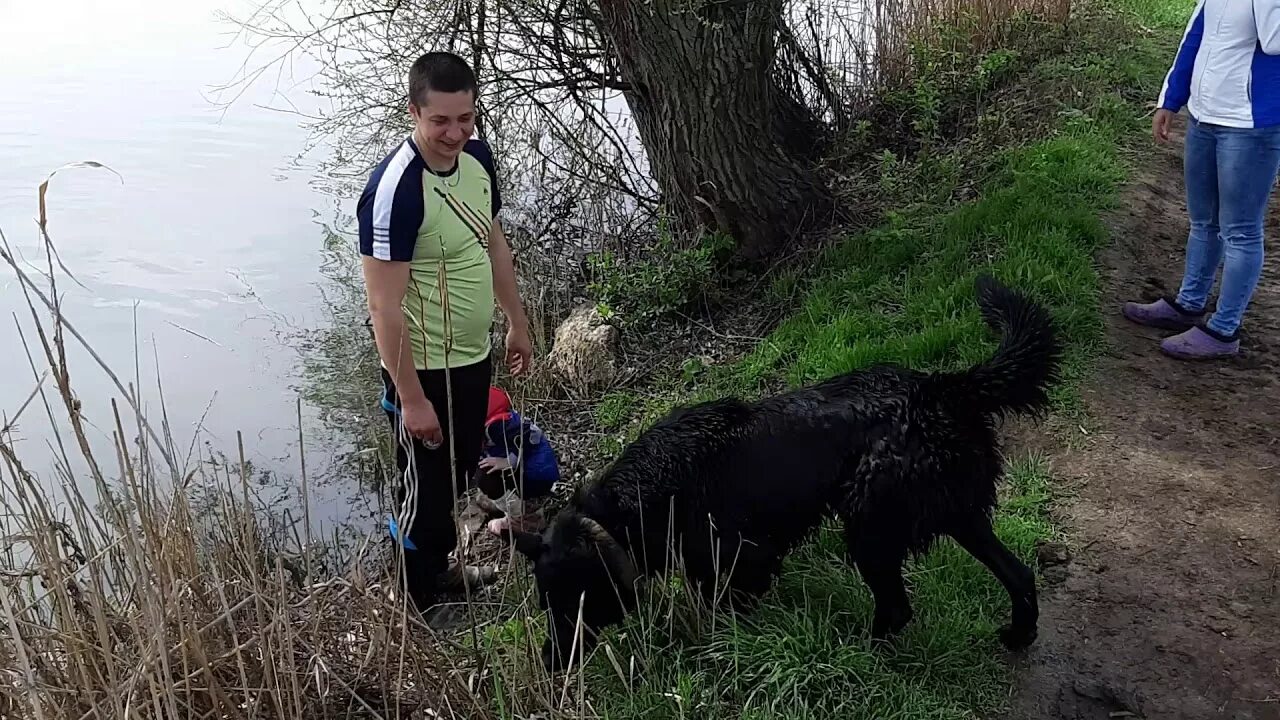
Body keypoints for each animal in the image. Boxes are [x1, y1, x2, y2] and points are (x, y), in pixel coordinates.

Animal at [504, 272, 1064, 666]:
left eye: (570, 604)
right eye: (546, 605)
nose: (551, 663)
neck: (642, 498)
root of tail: (943, 387)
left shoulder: (745, 560)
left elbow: (728, 611)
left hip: (870, 525)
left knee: (897, 608)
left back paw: (859, 656)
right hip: (956, 514)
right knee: (1020, 575)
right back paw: (1018, 634)